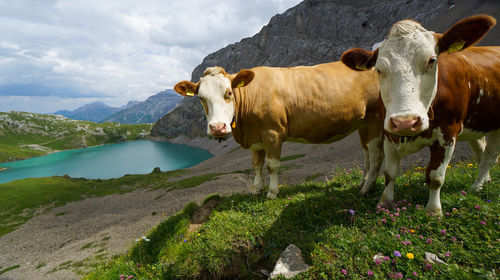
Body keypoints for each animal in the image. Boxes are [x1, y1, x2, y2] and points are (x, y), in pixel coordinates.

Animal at [174, 63, 384, 199]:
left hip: (376, 118)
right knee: (366, 153)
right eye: (201, 98)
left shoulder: (272, 133)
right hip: (362, 123)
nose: (217, 127)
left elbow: (272, 165)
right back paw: (362, 183)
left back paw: (367, 189)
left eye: (229, 93)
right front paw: (256, 188)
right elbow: (256, 164)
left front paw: (272, 192)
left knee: (376, 155)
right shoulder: (256, 138)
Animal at [342, 15, 500, 215]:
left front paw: (433, 210)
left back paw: (476, 186)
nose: (405, 122)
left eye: (432, 60)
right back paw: (484, 181)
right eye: (378, 69)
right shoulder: (388, 132)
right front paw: (385, 202)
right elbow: (390, 172)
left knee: (490, 155)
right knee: (481, 149)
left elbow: (435, 176)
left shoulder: (448, 133)